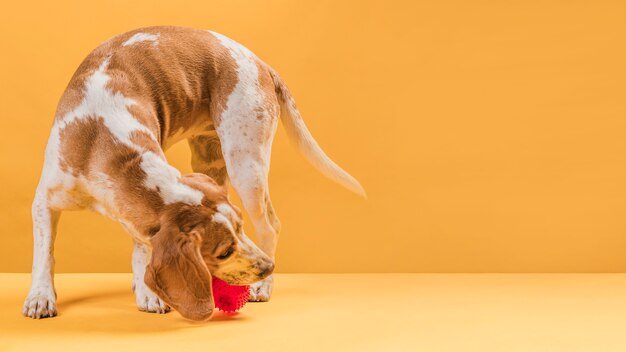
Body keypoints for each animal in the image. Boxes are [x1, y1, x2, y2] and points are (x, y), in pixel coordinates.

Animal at [24, 26, 364, 320]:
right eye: (225, 250)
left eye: (240, 229)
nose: (267, 267)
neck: (103, 141)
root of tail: (261, 63)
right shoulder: (44, 202)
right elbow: (45, 253)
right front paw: (41, 296)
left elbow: (141, 249)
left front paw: (149, 293)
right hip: (211, 162)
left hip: (246, 166)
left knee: (271, 225)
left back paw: (262, 287)